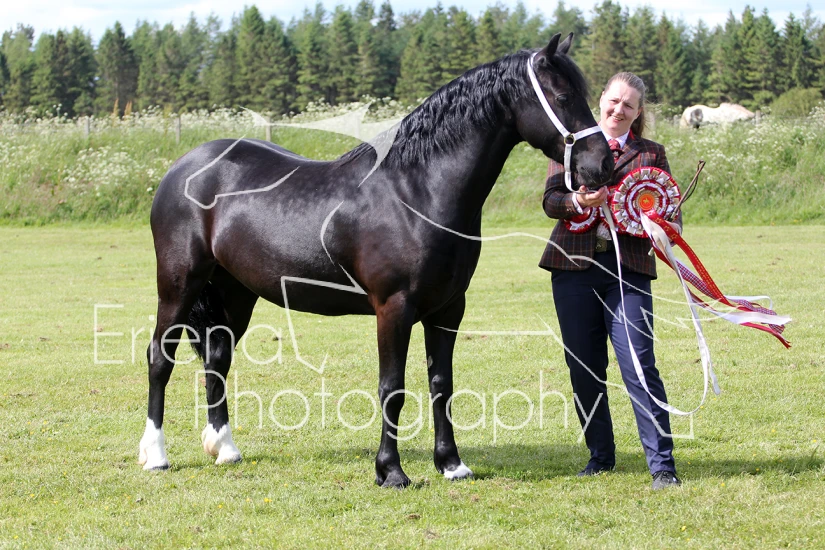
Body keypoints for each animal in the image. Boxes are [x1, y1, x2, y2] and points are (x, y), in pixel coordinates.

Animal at [138, 33, 614, 488]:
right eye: (561, 96)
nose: (603, 164)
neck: (415, 190)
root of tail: (182, 167)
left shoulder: (448, 309)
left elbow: (441, 383)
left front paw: (452, 465)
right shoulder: (393, 308)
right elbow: (393, 388)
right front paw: (391, 472)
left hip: (234, 292)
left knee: (217, 357)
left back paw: (225, 449)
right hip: (179, 284)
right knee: (160, 357)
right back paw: (156, 455)